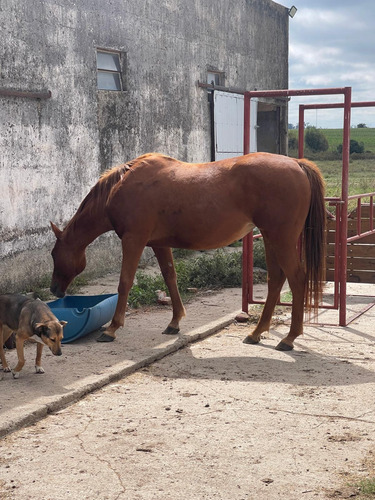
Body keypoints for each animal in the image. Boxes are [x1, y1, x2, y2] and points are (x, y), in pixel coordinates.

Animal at [50, 152, 326, 352]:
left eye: (53, 255)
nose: (54, 290)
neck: (121, 187)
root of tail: (296, 163)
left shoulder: (133, 240)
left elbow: (125, 282)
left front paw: (112, 328)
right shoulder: (159, 244)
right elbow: (170, 277)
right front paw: (174, 323)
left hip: (281, 239)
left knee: (297, 279)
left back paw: (289, 338)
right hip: (271, 238)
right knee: (276, 279)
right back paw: (257, 333)